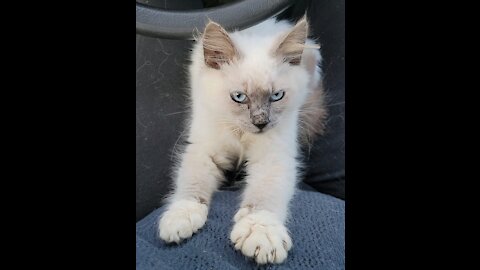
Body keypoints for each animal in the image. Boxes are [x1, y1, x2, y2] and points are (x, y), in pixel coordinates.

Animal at [158, 15, 326, 264]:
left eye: (277, 96)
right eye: (239, 97)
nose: (261, 123)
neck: (241, 135)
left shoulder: (272, 159)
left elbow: (264, 197)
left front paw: (260, 233)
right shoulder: (204, 149)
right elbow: (191, 184)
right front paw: (181, 217)